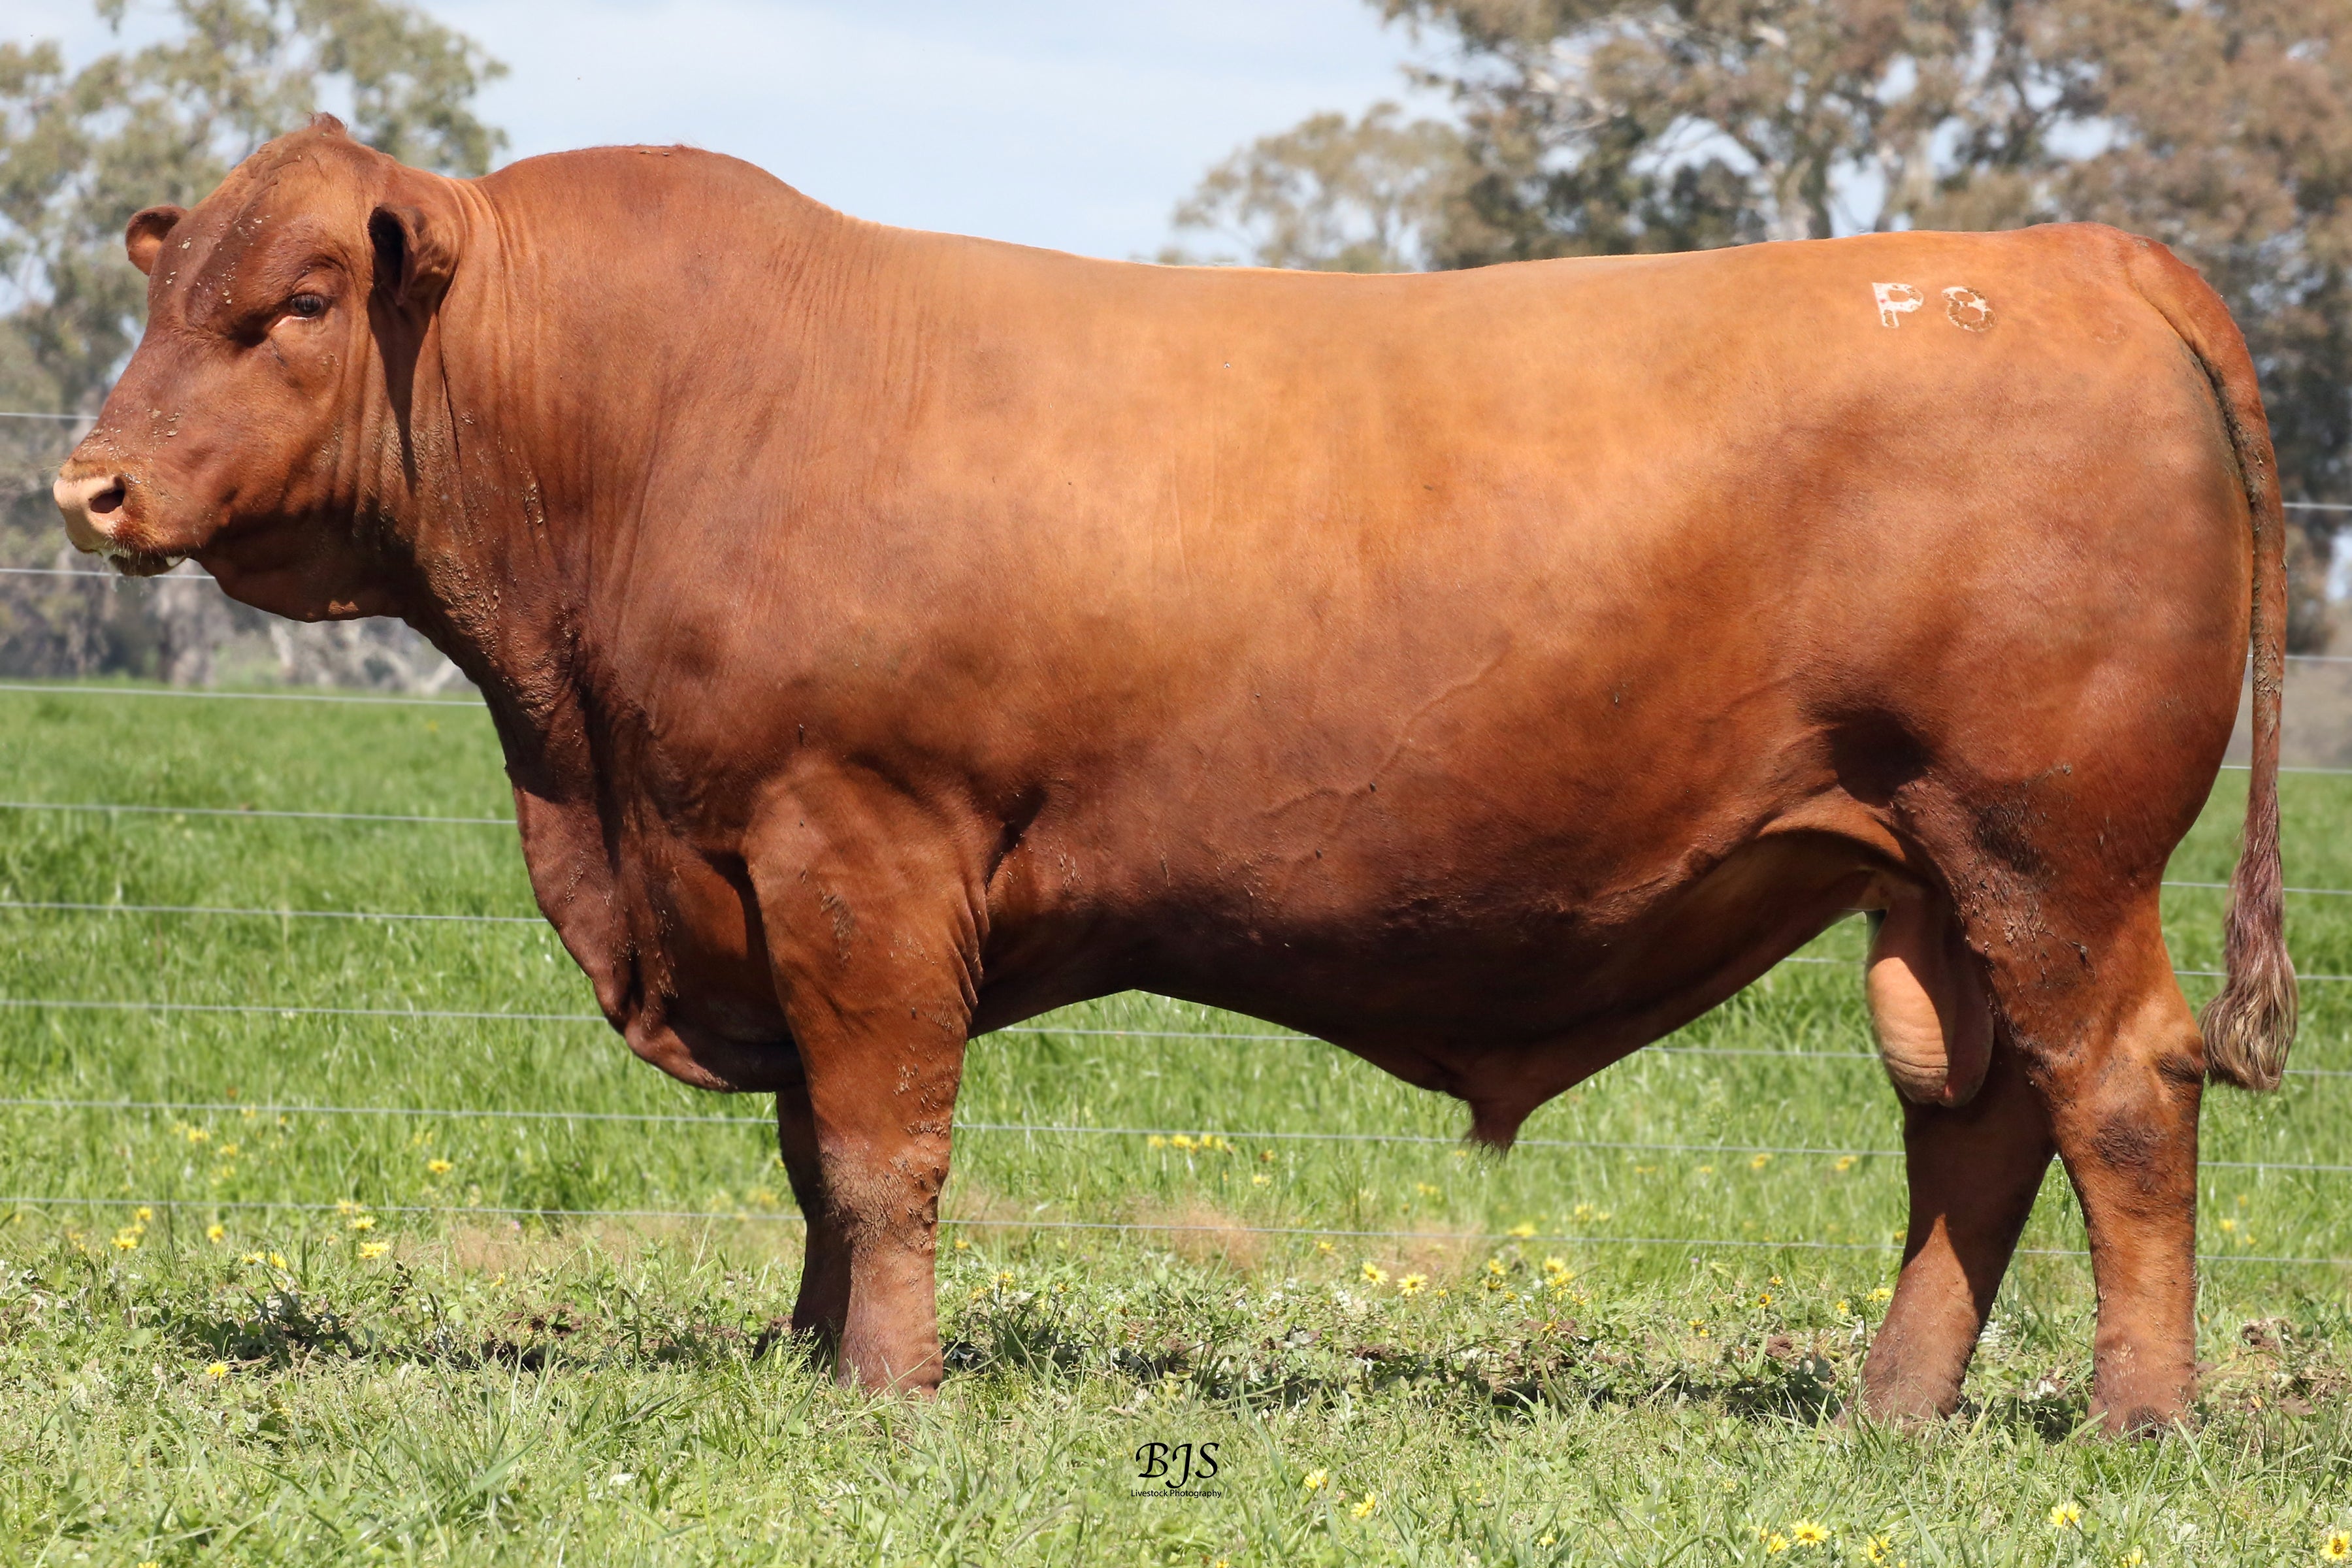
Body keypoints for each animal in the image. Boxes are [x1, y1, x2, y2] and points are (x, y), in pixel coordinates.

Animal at [55, 117, 2295, 1432]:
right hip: (1934, 873)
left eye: (300, 301)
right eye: (164, 284)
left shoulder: (859, 842)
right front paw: (809, 1358)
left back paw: (2139, 1412)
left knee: (2117, 1095)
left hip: (2052, 850)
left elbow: (879, 1145)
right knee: (1976, 1123)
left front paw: (891, 1390)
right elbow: (809, 1148)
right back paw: (1892, 1404)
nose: (87, 486)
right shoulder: (754, 875)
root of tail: (2073, 252)